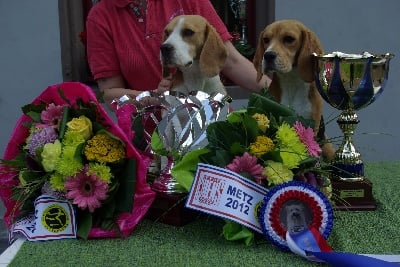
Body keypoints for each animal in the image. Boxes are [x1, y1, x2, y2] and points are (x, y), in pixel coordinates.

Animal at [253, 20, 334, 161]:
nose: (268, 55)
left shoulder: (312, 124)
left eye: (289, 39)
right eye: (266, 40)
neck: (292, 81)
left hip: (329, 148)